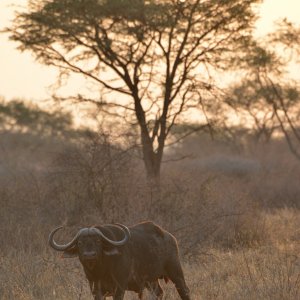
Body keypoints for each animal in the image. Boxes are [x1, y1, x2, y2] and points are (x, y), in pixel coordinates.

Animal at [48, 220, 190, 300]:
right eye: (80, 243)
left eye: (98, 241)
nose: (89, 255)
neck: (101, 270)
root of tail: (169, 236)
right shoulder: (95, 289)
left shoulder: (120, 286)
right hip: (151, 281)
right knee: (158, 293)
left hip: (176, 272)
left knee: (184, 291)